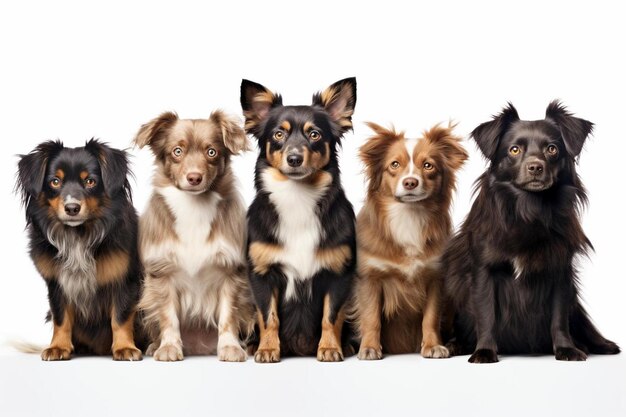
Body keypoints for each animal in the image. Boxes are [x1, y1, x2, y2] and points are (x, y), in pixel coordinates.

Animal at [17, 139, 145, 358]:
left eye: (90, 181)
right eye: (55, 182)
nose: (72, 208)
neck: (78, 234)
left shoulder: (126, 280)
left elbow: (120, 317)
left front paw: (125, 348)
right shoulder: (56, 284)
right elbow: (61, 317)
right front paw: (59, 347)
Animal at [133, 110, 254, 360]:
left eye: (212, 152)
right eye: (177, 151)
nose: (194, 178)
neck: (194, 207)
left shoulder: (231, 272)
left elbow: (228, 315)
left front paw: (230, 347)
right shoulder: (162, 272)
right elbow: (168, 316)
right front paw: (169, 347)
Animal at [239, 78, 356, 360]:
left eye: (315, 134)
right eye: (278, 135)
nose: (294, 158)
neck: (297, 197)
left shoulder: (339, 274)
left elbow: (330, 316)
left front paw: (329, 348)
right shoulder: (262, 275)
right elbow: (268, 317)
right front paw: (268, 349)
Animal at [348, 122, 466, 360]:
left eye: (428, 166)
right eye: (394, 164)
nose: (410, 182)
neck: (408, 215)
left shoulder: (435, 279)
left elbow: (431, 318)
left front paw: (432, 346)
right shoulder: (370, 279)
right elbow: (371, 317)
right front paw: (370, 347)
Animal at [444, 101, 620, 360]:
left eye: (552, 149)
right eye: (514, 150)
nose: (535, 166)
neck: (529, 208)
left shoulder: (560, 271)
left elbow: (559, 318)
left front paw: (566, 349)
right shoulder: (483, 271)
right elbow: (486, 314)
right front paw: (484, 351)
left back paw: (599, 345)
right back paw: (455, 345)